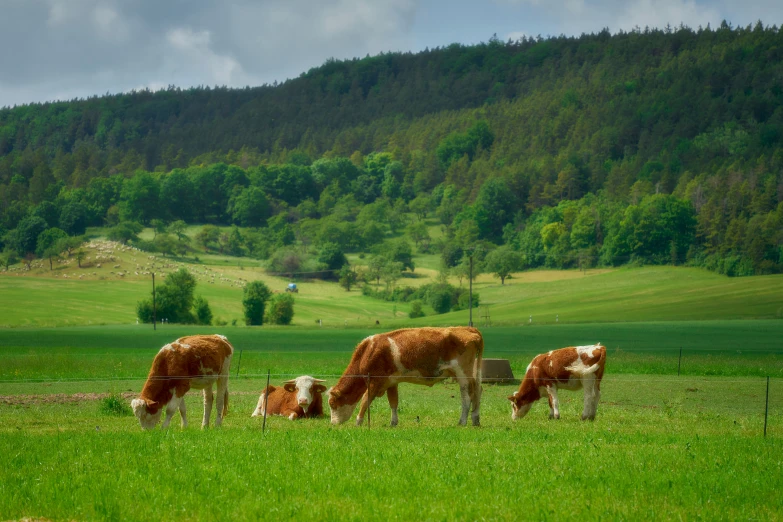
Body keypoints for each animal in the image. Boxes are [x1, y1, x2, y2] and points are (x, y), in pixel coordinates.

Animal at [324, 328, 484, 424]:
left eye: (332, 403)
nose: (333, 423)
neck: (369, 351)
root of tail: (468, 328)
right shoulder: (391, 382)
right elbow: (393, 402)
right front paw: (393, 423)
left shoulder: (374, 382)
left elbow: (365, 401)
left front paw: (358, 421)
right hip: (471, 374)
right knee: (478, 391)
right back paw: (475, 419)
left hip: (463, 374)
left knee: (467, 396)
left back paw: (462, 421)